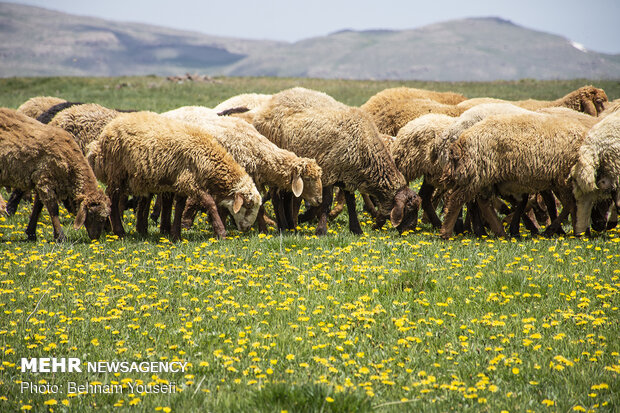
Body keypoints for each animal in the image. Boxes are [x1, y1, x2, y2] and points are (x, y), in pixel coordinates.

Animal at [0, 108, 110, 241]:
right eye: (93, 214)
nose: (96, 237)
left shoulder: (43, 181)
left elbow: (38, 207)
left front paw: (31, 233)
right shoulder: (44, 178)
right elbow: (53, 208)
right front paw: (60, 237)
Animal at [89, 112, 260, 241]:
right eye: (248, 205)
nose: (247, 228)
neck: (207, 157)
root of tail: (102, 137)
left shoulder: (182, 182)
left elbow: (179, 207)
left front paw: (176, 235)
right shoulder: (190, 181)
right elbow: (209, 202)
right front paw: (221, 233)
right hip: (117, 171)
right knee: (112, 197)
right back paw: (118, 231)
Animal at [240, 87, 418, 235]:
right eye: (409, 209)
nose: (410, 231)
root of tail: (268, 104)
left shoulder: (348, 176)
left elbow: (351, 203)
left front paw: (356, 229)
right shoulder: (329, 173)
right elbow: (325, 203)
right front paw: (320, 230)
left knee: (287, 196)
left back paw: (291, 226)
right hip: (276, 163)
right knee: (277, 197)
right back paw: (284, 227)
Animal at [438, 111, 588, 240]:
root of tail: (459, 143)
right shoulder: (563, 179)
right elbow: (570, 204)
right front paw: (566, 231)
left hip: (483, 178)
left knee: (483, 202)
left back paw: (500, 232)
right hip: (477, 175)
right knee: (456, 200)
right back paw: (446, 233)